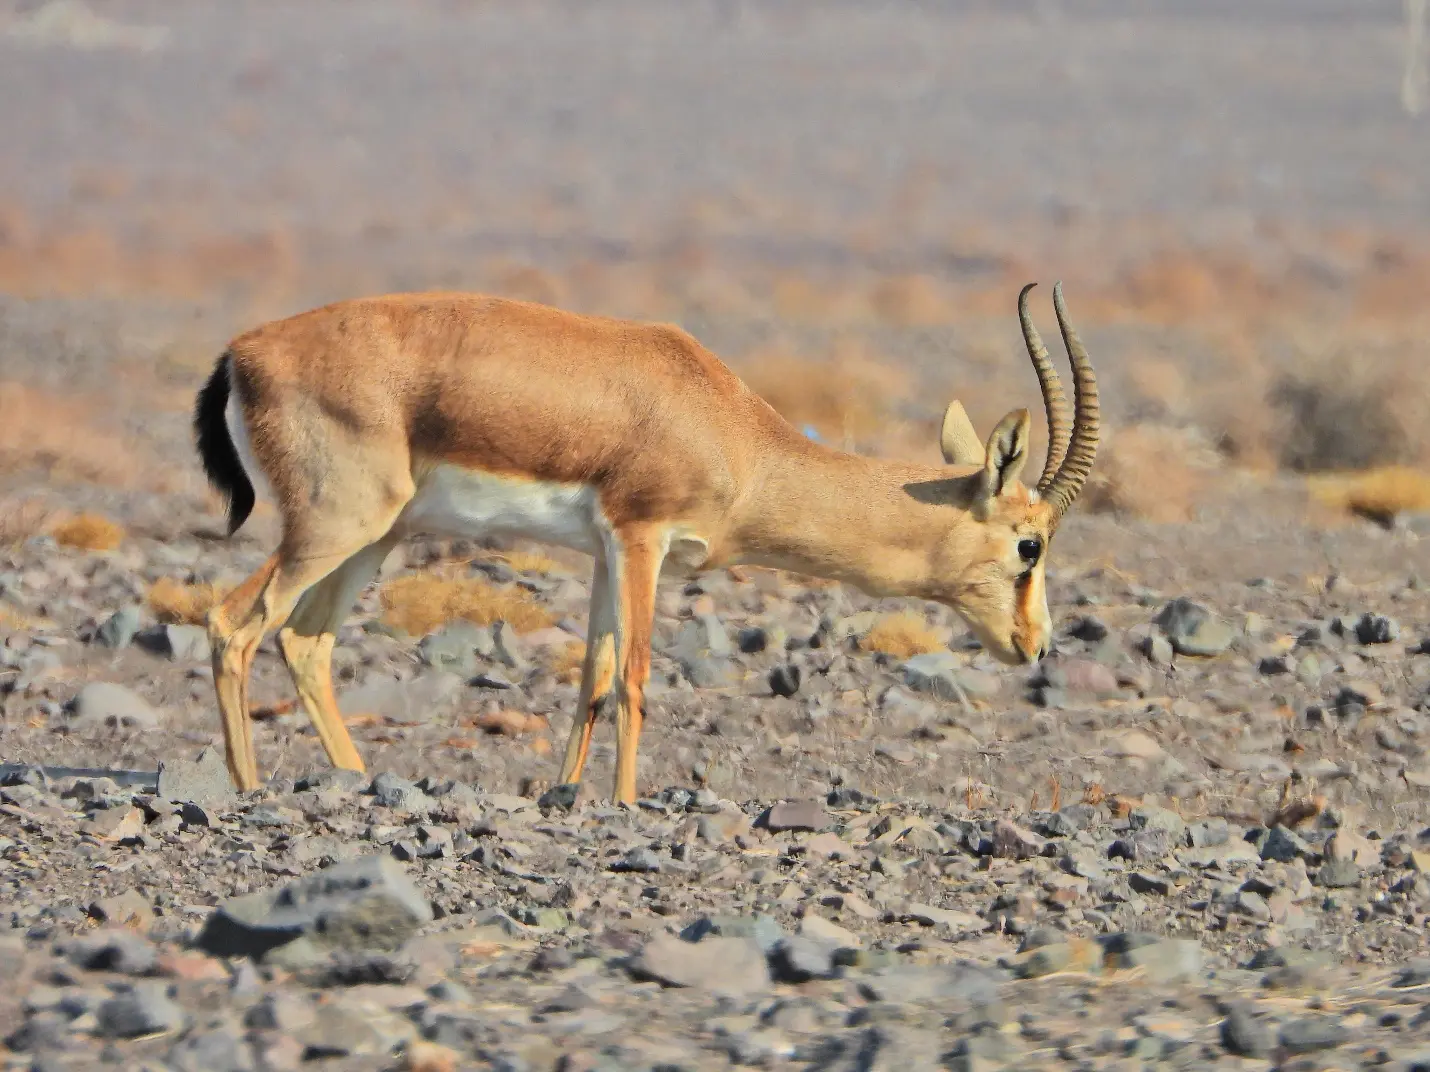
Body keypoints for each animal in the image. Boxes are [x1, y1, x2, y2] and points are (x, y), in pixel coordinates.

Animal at [193, 281, 1098, 804]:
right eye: (1030, 545)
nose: (1036, 644)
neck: (739, 435)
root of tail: (243, 350)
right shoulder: (642, 538)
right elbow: (633, 680)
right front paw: (627, 806)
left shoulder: (602, 552)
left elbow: (591, 678)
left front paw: (566, 797)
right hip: (335, 526)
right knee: (234, 624)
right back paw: (249, 790)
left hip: (377, 538)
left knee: (305, 640)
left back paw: (352, 780)